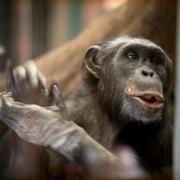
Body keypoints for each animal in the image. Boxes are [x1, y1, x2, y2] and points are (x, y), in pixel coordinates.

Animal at [0, 36, 173, 179]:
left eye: (156, 60)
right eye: (131, 56)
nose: (148, 72)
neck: (110, 114)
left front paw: (55, 128)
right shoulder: (75, 109)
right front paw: (28, 95)